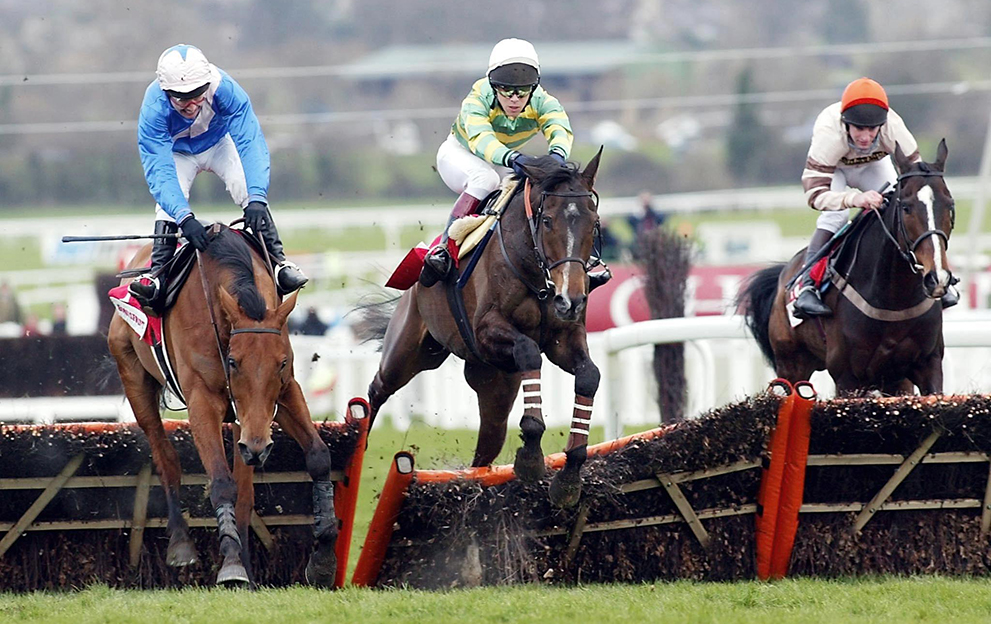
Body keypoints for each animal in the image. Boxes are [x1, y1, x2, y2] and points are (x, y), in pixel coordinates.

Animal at [105, 227, 338, 588]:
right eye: (233, 362)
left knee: (244, 485)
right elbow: (221, 480)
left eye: (282, 363)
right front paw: (231, 564)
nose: (259, 446)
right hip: (134, 379)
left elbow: (317, 456)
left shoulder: (283, 394)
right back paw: (181, 543)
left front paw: (323, 559)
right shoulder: (202, 400)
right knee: (165, 455)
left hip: (244, 424)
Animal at [362, 151, 604, 508]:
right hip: (407, 353)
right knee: (377, 389)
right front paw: (531, 456)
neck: (536, 273)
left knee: (485, 449)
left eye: (593, 222)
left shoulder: (564, 338)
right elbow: (529, 351)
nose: (571, 299)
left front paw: (569, 476)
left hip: (495, 387)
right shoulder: (486, 331)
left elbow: (589, 375)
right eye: (548, 221)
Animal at [740, 141, 956, 394]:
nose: (937, 278)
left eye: (950, 205)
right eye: (906, 207)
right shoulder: (847, 377)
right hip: (791, 365)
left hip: (897, 381)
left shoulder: (928, 366)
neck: (894, 299)